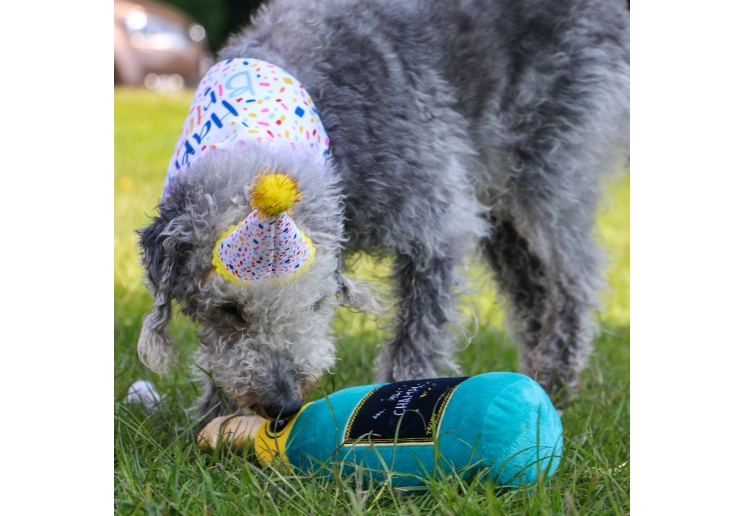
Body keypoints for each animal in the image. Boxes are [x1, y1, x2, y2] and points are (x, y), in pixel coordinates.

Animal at [135, 0, 628, 422]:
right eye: (228, 310)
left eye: (317, 304)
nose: (284, 405)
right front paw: (213, 415)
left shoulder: (437, 222)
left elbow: (418, 333)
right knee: (533, 290)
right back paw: (540, 382)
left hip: (548, 169)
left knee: (575, 278)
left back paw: (557, 378)